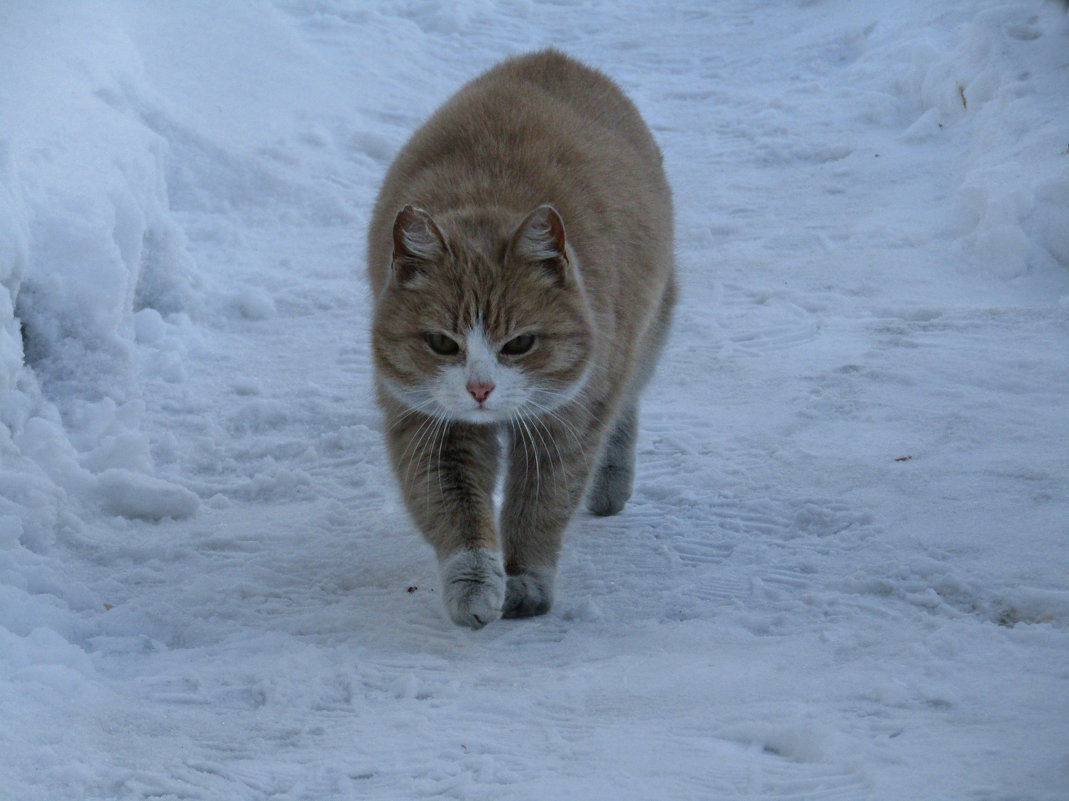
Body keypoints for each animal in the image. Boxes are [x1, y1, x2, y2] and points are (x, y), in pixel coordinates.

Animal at [363, 48, 671, 633]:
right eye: (442, 344)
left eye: (519, 344)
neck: (491, 201)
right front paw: (475, 586)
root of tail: (553, 57)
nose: (480, 389)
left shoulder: (568, 422)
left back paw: (611, 484)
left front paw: (525, 580)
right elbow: (456, 509)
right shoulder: (429, 424)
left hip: (644, 336)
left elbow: (541, 504)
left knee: (627, 403)